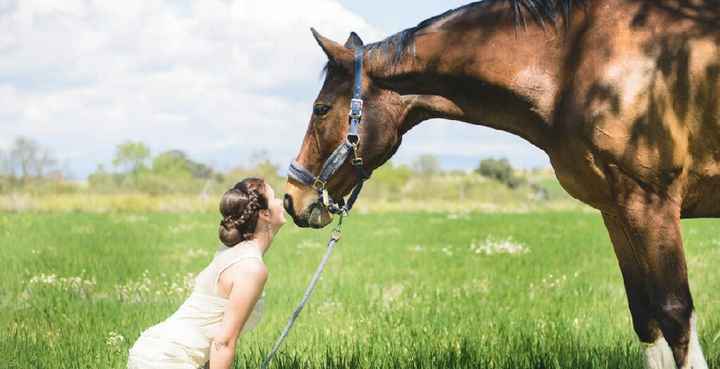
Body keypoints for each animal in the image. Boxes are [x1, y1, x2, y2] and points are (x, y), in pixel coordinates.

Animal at [282, 1, 720, 366]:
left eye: (321, 109)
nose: (291, 198)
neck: (578, 59)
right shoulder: (616, 211)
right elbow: (646, 318)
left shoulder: (650, 205)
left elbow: (674, 314)